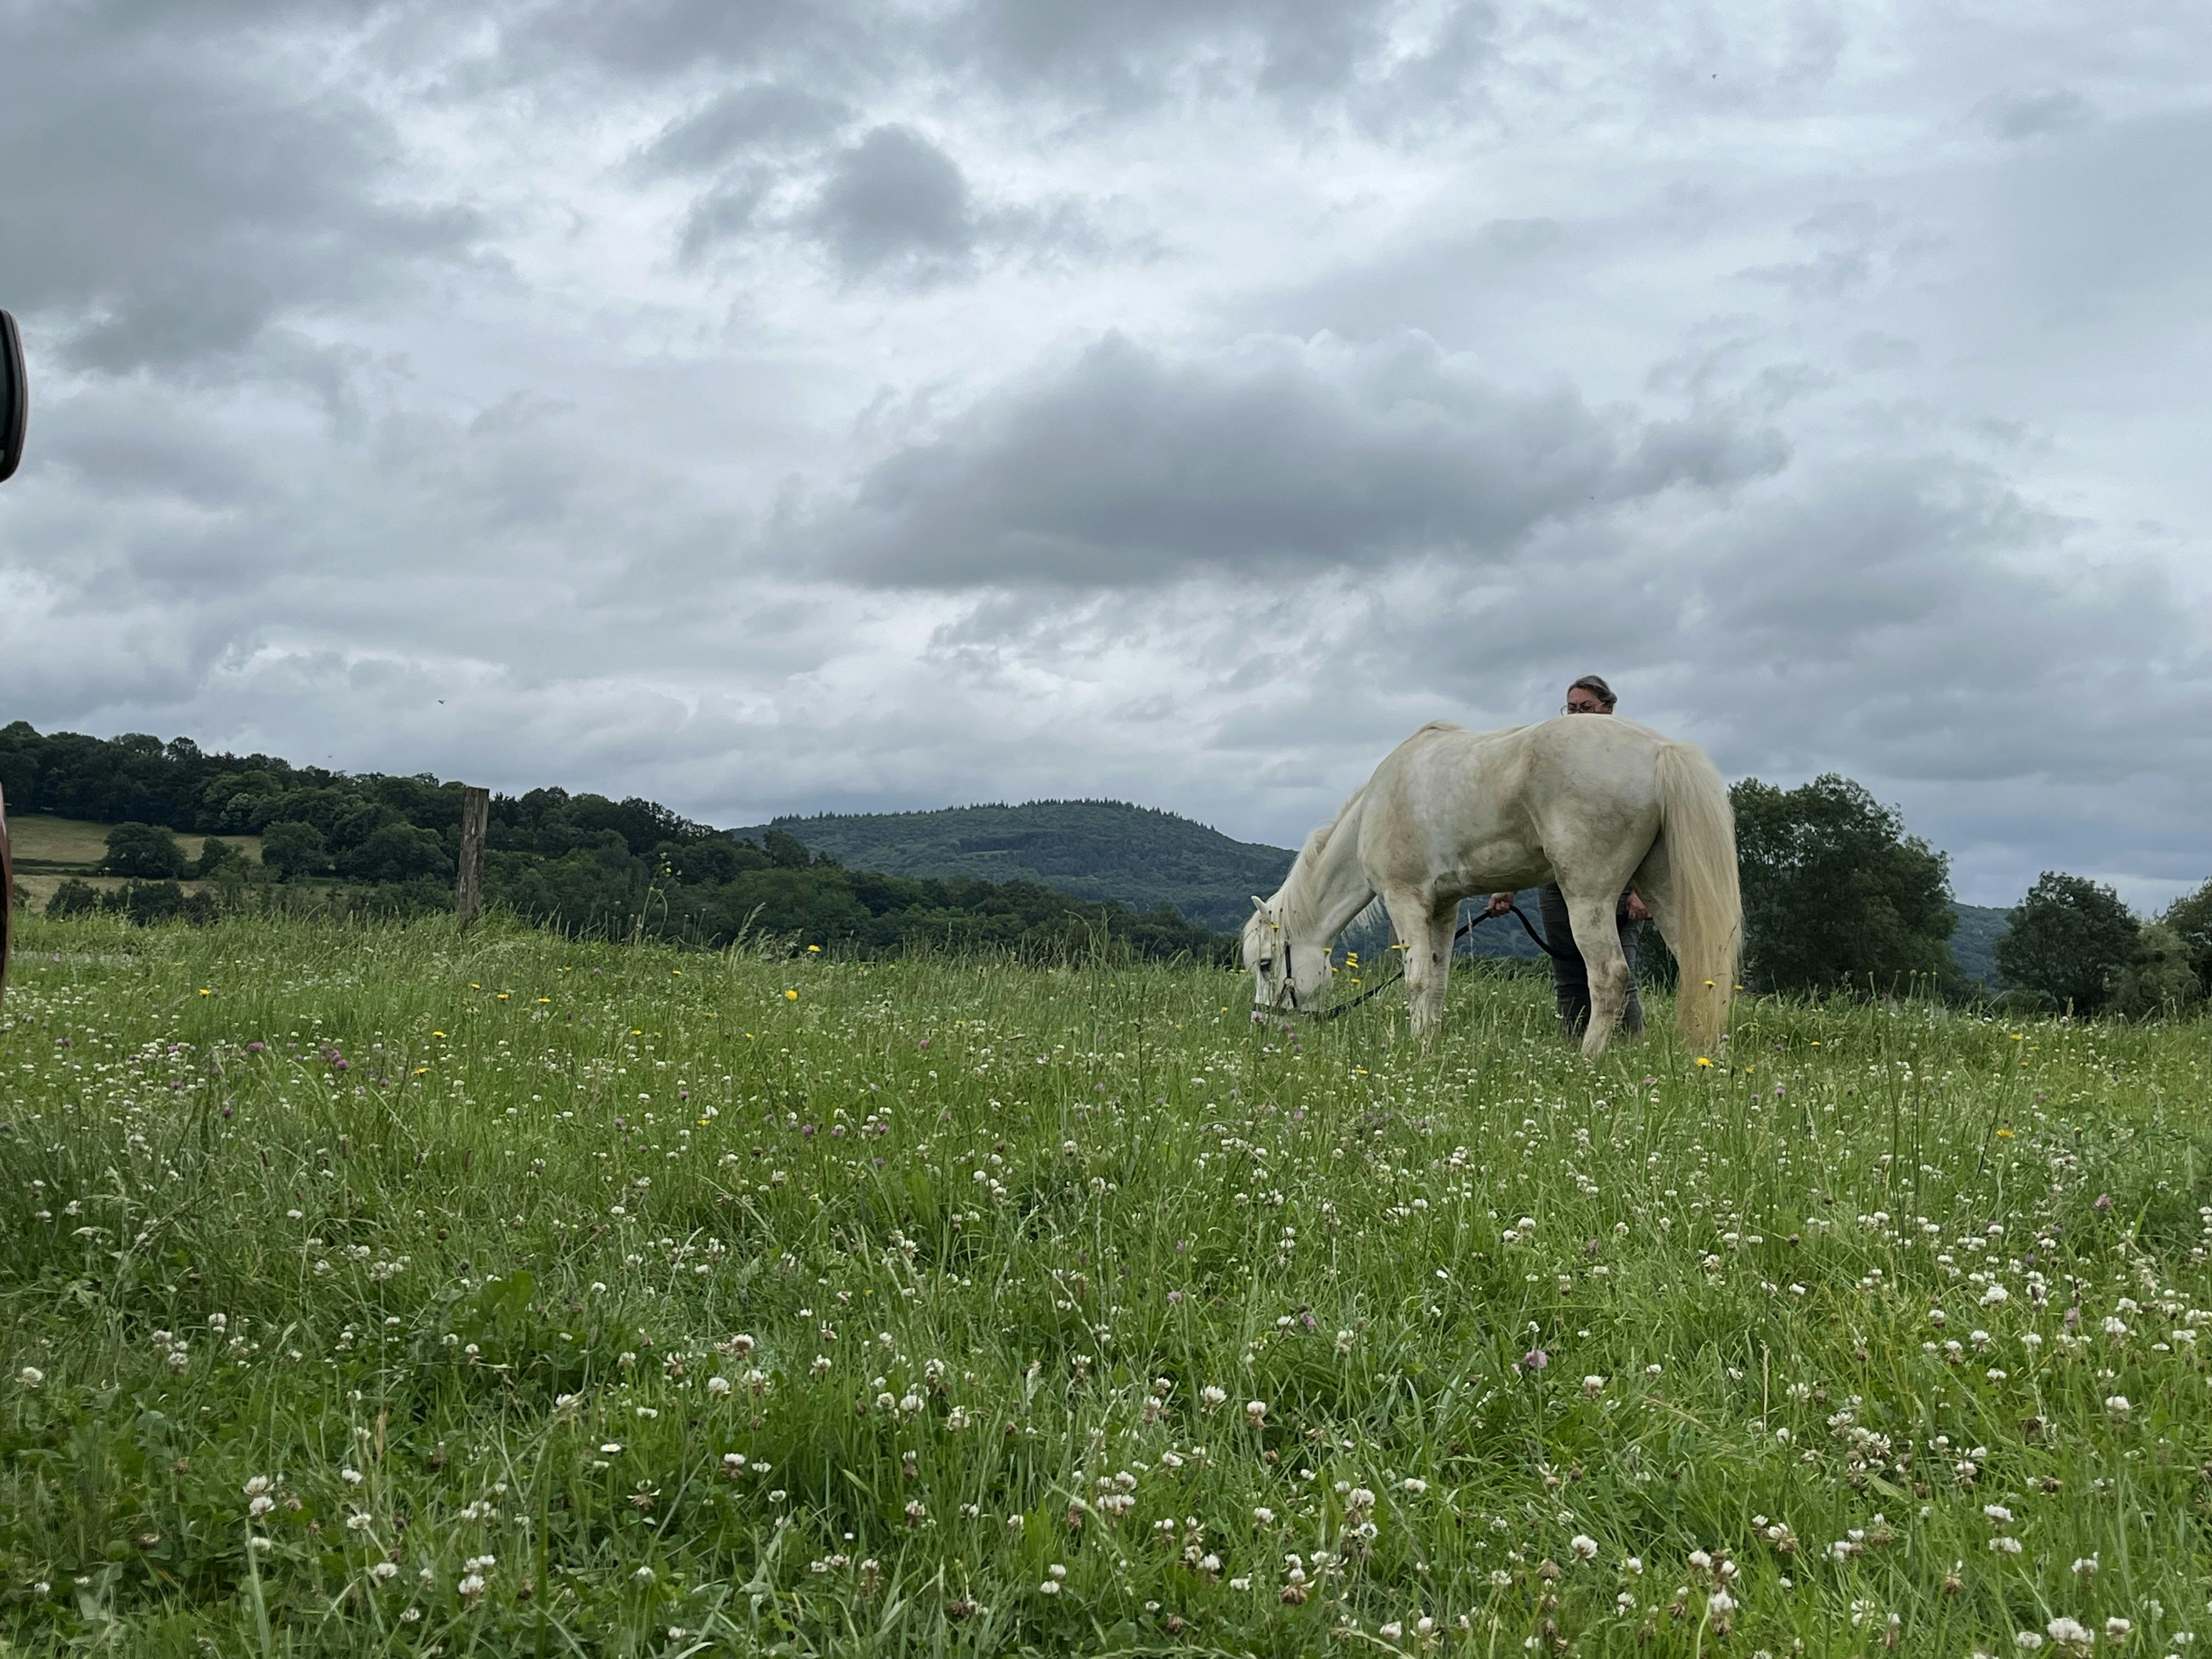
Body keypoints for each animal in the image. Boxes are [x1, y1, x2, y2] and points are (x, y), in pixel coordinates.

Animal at [1248, 716, 1743, 1057]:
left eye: (1266, 964)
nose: (1263, 1023)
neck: (1377, 804)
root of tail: (1660, 750)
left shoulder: (1405, 900)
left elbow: (1416, 980)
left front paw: (1415, 1048)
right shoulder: (1443, 908)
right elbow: (1438, 982)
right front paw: (1429, 1043)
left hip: (1589, 898)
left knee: (1610, 977)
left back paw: (1587, 1060)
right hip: (1663, 888)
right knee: (1704, 972)